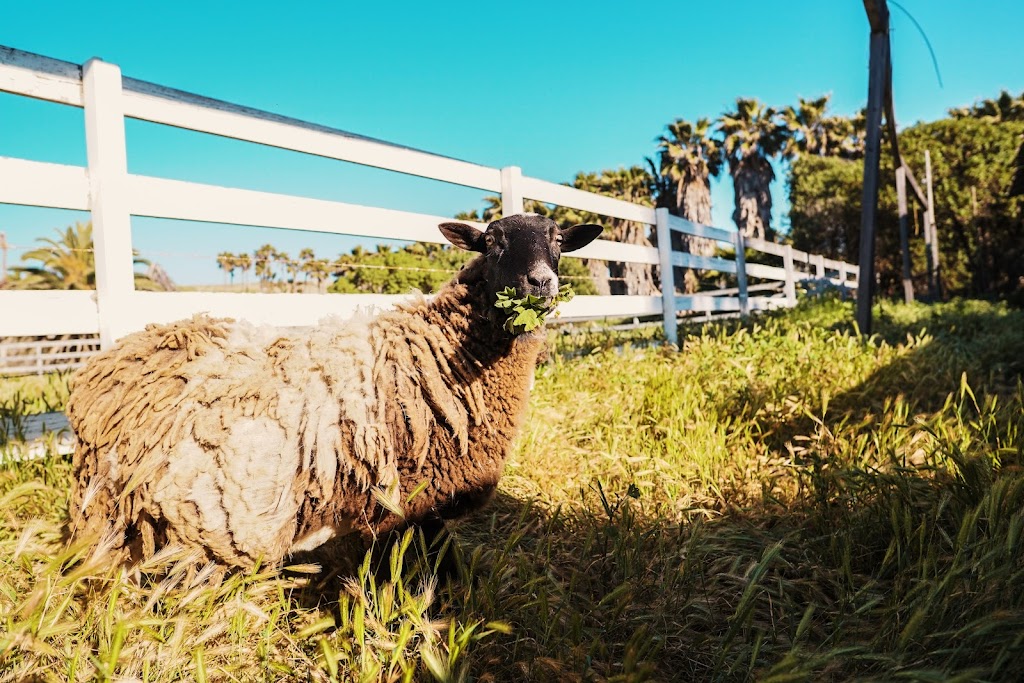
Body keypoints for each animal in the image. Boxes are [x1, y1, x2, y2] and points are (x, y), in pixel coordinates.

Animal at [64, 216, 602, 569]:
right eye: (491, 242)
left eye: (558, 240)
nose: (540, 282)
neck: (444, 351)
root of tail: (105, 363)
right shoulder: (403, 506)